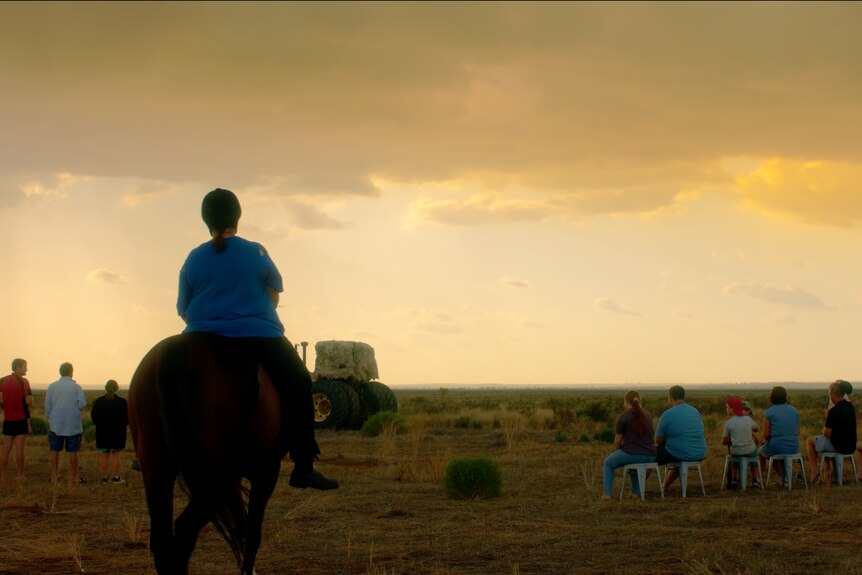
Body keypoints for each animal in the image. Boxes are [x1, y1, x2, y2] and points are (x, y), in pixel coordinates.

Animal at [129, 332, 286, 575]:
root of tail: (180, 348)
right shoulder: (266, 472)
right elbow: (251, 535)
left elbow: (241, 525)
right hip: (214, 477)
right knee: (185, 528)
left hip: (158, 470)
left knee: (162, 540)